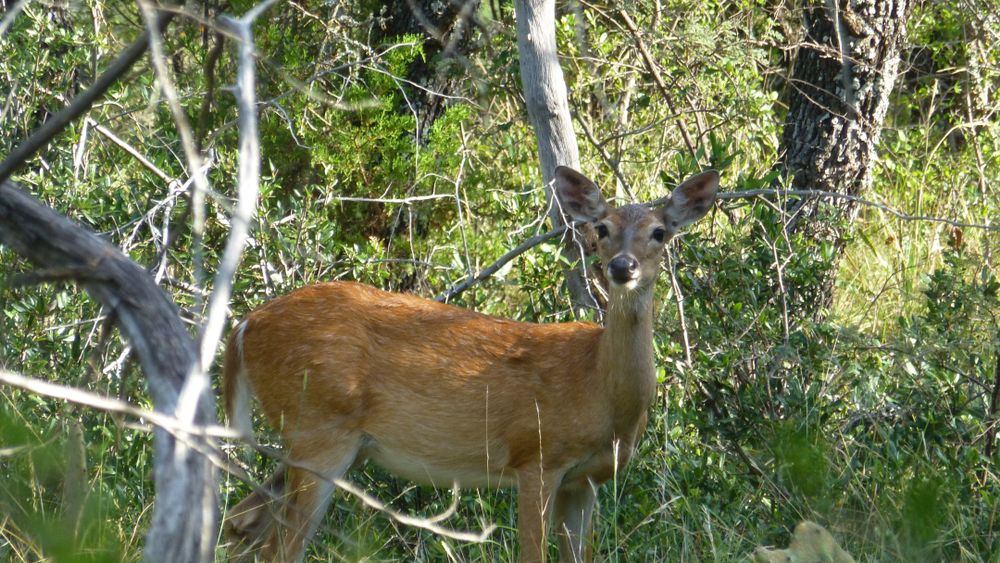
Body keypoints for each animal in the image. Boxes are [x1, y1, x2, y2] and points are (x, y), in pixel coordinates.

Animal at [221, 166, 719, 562]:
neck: (599, 388)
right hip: (318, 427)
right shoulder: (536, 456)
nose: (621, 267)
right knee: (277, 547)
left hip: (318, 439)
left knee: (241, 522)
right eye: (600, 228)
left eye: (660, 232)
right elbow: (531, 555)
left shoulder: (585, 480)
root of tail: (244, 325)